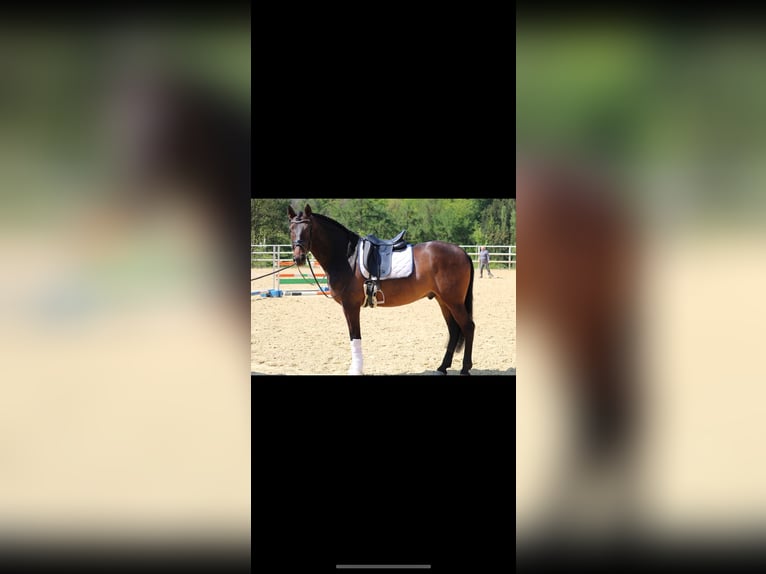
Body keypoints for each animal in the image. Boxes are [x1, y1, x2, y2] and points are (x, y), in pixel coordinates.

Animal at [287, 204, 476, 375]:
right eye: (291, 229)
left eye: (308, 229)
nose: (299, 258)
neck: (348, 258)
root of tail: (462, 252)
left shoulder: (350, 306)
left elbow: (355, 336)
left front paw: (356, 370)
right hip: (443, 301)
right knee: (454, 330)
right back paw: (442, 367)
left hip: (454, 302)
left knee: (468, 327)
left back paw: (465, 369)